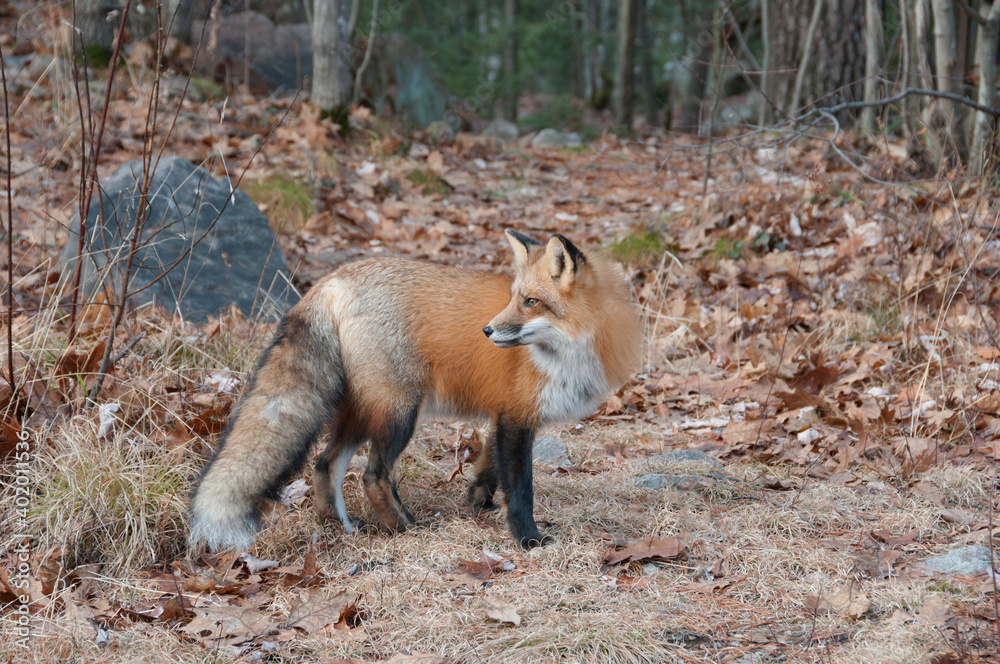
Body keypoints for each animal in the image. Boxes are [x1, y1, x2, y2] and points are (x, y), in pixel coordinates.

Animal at [188, 229, 641, 550]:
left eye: (530, 302)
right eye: (517, 298)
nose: (487, 330)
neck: (571, 351)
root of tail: (330, 282)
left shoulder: (504, 416)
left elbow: (487, 469)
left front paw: (476, 504)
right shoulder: (517, 417)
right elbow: (520, 488)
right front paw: (528, 538)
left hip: (362, 411)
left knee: (325, 465)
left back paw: (339, 525)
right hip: (400, 412)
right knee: (373, 475)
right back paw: (404, 527)